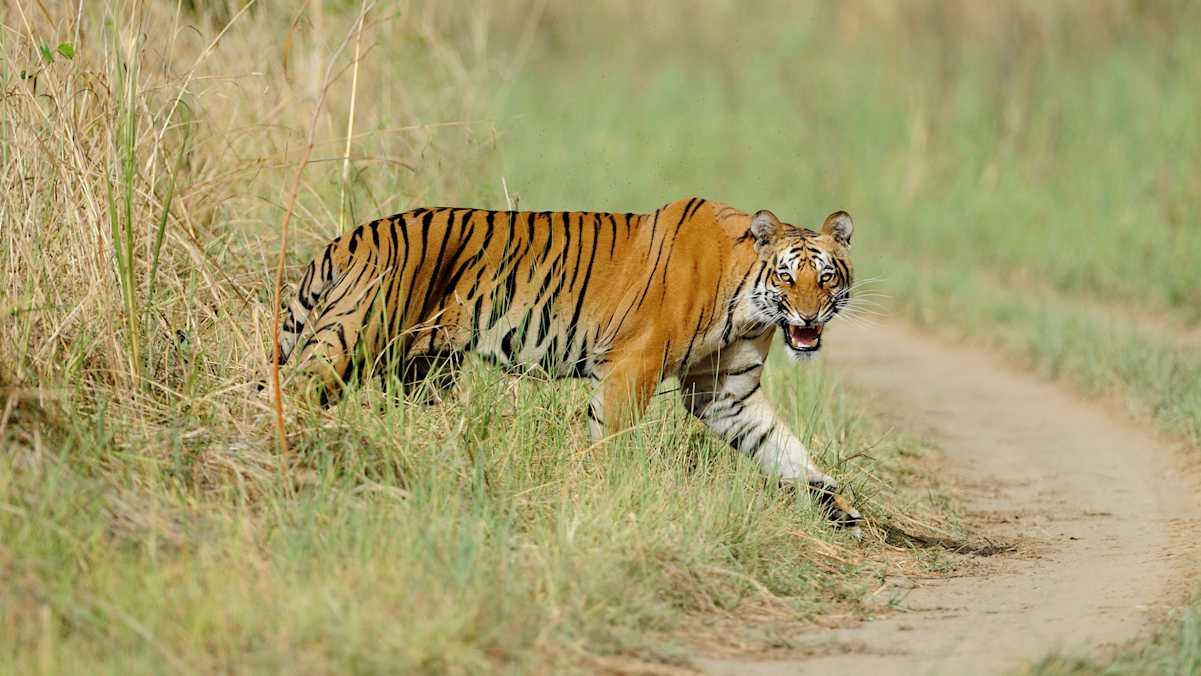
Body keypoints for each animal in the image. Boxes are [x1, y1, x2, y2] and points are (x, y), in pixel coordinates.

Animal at [275, 197, 861, 528]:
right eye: (786, 276)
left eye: (825, 276)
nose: (809, 315)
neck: (748, 307)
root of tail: (350, 238)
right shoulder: (633, 367)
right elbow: (610, 442)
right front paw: (608, 498)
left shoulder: (724, 392)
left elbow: (782, 447)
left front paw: (839, 505)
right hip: (350, 341)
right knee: (295, 393)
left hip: (424, 370)